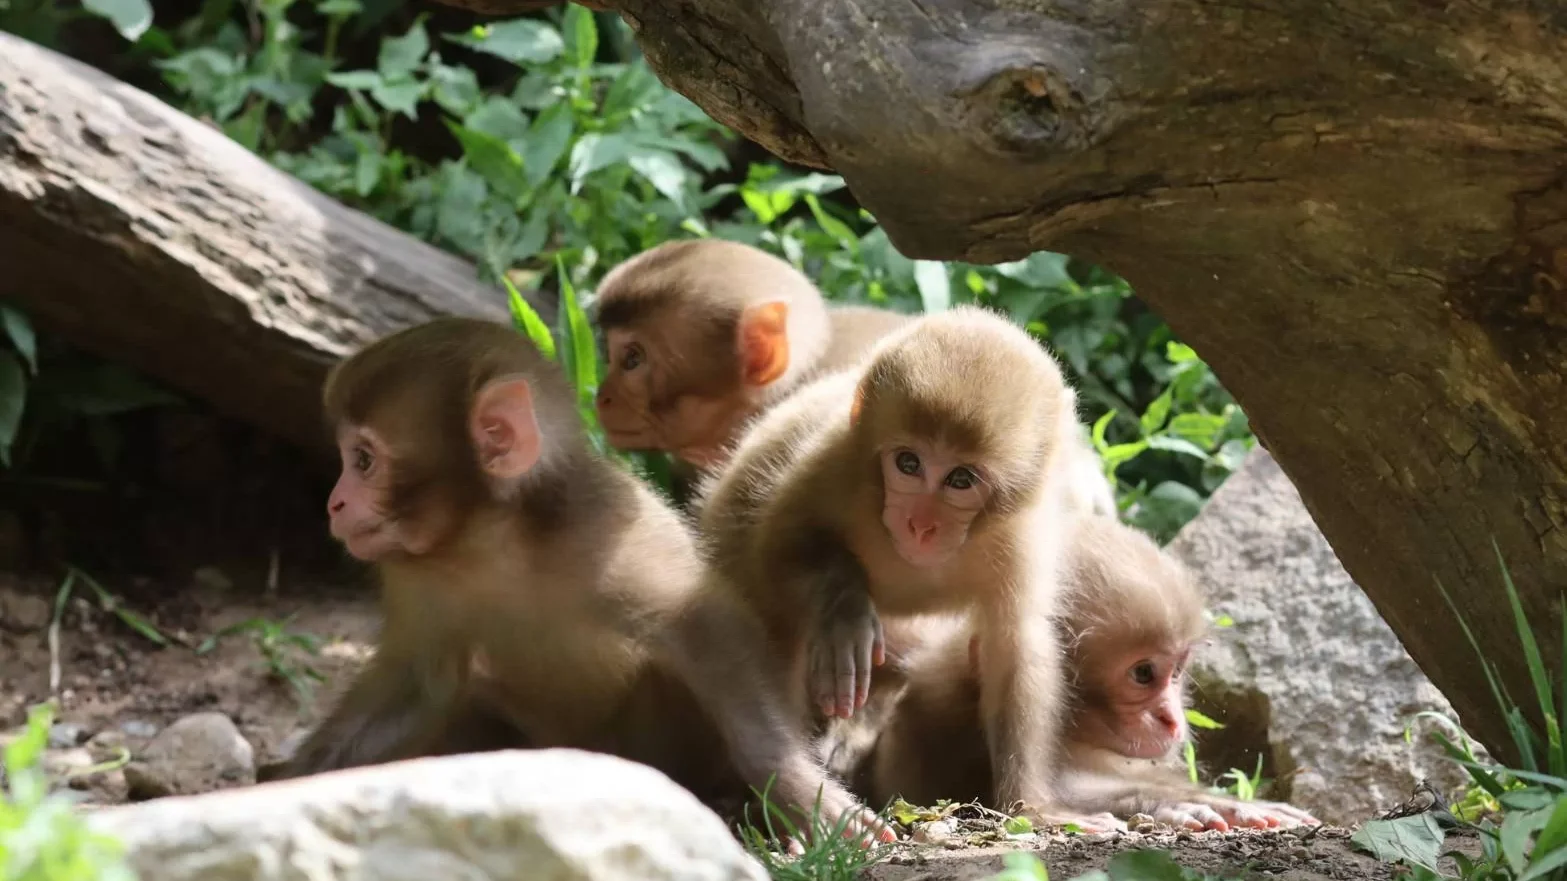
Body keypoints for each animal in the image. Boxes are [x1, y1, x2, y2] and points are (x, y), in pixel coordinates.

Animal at [264, 316, 889, 844]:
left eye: (364, 459)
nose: (335, 502)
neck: (489, 541)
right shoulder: (417, 575)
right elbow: (419, 681)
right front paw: (290, 782)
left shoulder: (605, 530)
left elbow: (703, 629)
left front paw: (793, 783)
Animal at [693, 304, 1116, 831]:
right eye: (909, 463)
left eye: (960, 479)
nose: (920, 524)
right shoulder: (832, 466)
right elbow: (776, 554)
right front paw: (846, 609)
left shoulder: (1023, 533)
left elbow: (1015, 644)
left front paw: (1034, 807)